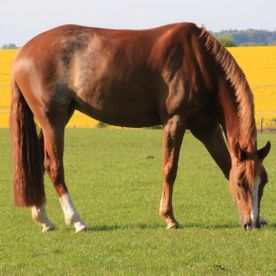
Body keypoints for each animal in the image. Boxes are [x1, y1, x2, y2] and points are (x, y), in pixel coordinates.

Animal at [9, 22, 270, 232]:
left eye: (263, 181)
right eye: (242, 183)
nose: (251, 223)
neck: (198, 62)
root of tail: (23, 53)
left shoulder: (207, 129)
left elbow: (226, 166)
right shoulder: (175, 122)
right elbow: (170, 169)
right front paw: (169, 218)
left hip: (53, 121)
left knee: (39, 165)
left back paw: (44, 220)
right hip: (53, 121)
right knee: (54, 167)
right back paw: (76, 220)